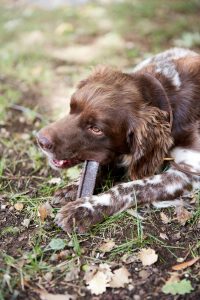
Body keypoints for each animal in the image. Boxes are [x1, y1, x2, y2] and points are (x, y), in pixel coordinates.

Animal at [37, 48, 200, 232]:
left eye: (96, 129)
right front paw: (73, 187)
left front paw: (84, 209)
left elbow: (131, 187)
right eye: (72, 107)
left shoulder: (188, 172)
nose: (41, 140)